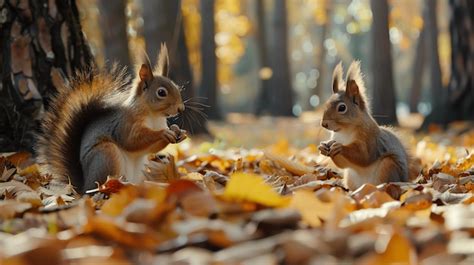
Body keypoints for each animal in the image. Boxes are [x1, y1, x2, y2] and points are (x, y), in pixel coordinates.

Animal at [36, 43, 187, 192]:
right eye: (161, 92)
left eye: (176, 87)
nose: (181, 109)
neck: (154, 115)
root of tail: (83, 188)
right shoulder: (125, 123)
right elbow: (132, 140)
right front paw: (163, 133)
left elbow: (152, 149)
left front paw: (177, 130)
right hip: (106, 155)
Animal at [318, 61, 418, 190]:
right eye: (326, 103)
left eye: (342, 107)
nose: (324, 124)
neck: (345, 131)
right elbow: (343, 164)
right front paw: (323, 147)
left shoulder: (369, 138)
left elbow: (364, 155)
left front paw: (340, 147)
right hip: (350, 176)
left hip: (388, 166)